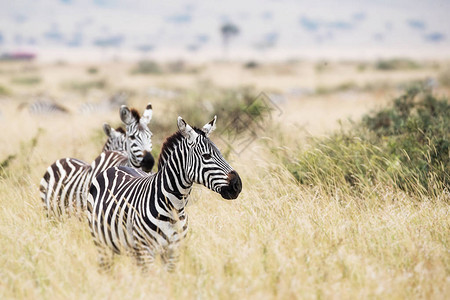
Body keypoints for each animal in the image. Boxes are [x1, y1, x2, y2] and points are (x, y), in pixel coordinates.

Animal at [88, 115, 243, 272]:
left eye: (221, 154)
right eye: (206, 156)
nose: (237, 185)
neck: (174, 207)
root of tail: (115, 167)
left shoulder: (173, 250)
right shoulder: (147, 250)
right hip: (101, 242)